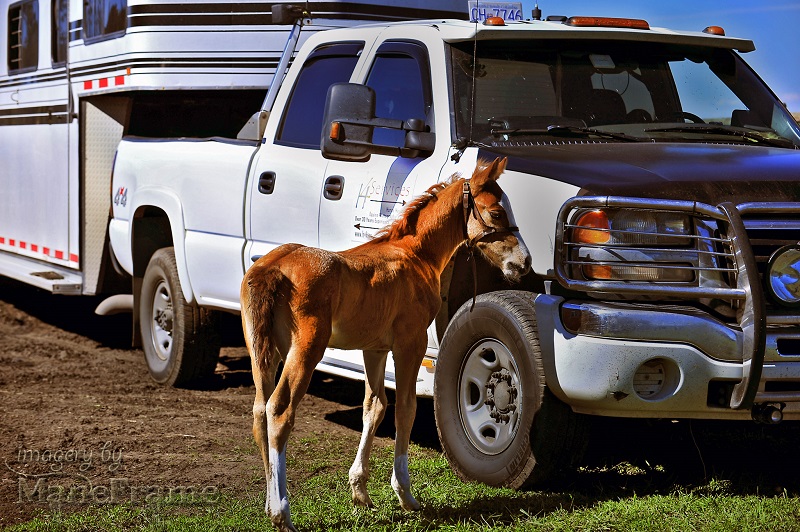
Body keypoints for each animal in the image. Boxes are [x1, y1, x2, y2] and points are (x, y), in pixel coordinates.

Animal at [240, 157, 531, 531]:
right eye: (496, 212)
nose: (524, 263)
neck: (415, 254)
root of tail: (272, 269)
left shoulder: (374, 348)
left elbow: (374, 407)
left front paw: (360, 492)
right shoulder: (410, 343)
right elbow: (406, 408)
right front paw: (405, 494)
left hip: (263, 351)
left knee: (259, 411)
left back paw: (268, 504)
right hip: (305, 350)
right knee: (280, 410)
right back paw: (281, 512)